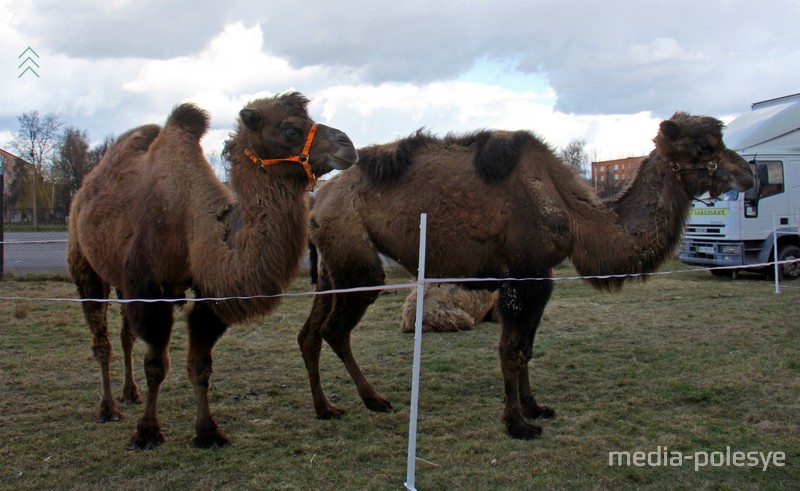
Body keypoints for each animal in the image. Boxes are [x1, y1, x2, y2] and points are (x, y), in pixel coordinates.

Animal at [69, 92, 356, 450]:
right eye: (290, 128)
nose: (348, 144)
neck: (195, 228)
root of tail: (84, 189)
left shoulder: (209, 295)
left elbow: (200, 365)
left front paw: (208, 432)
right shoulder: (151, 292)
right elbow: (156, 365)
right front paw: (147, 432)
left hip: (122, 282)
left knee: (126, 336)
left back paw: (129, 394)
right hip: (84, 262)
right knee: (101, 339)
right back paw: (108, 408)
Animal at [300, 112, 756, 442]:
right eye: (705, 146)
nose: (750, 173)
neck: (573, 213)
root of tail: (319, 197)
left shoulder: (540, 276)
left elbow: (528, 349)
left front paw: (536, 407)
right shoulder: (524, 274)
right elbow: (512, 350)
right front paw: (518, 424)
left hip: (330, 264)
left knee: (310, 332)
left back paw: (326, 409)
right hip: (358, 262)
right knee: (335, 329)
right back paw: (374, 400)